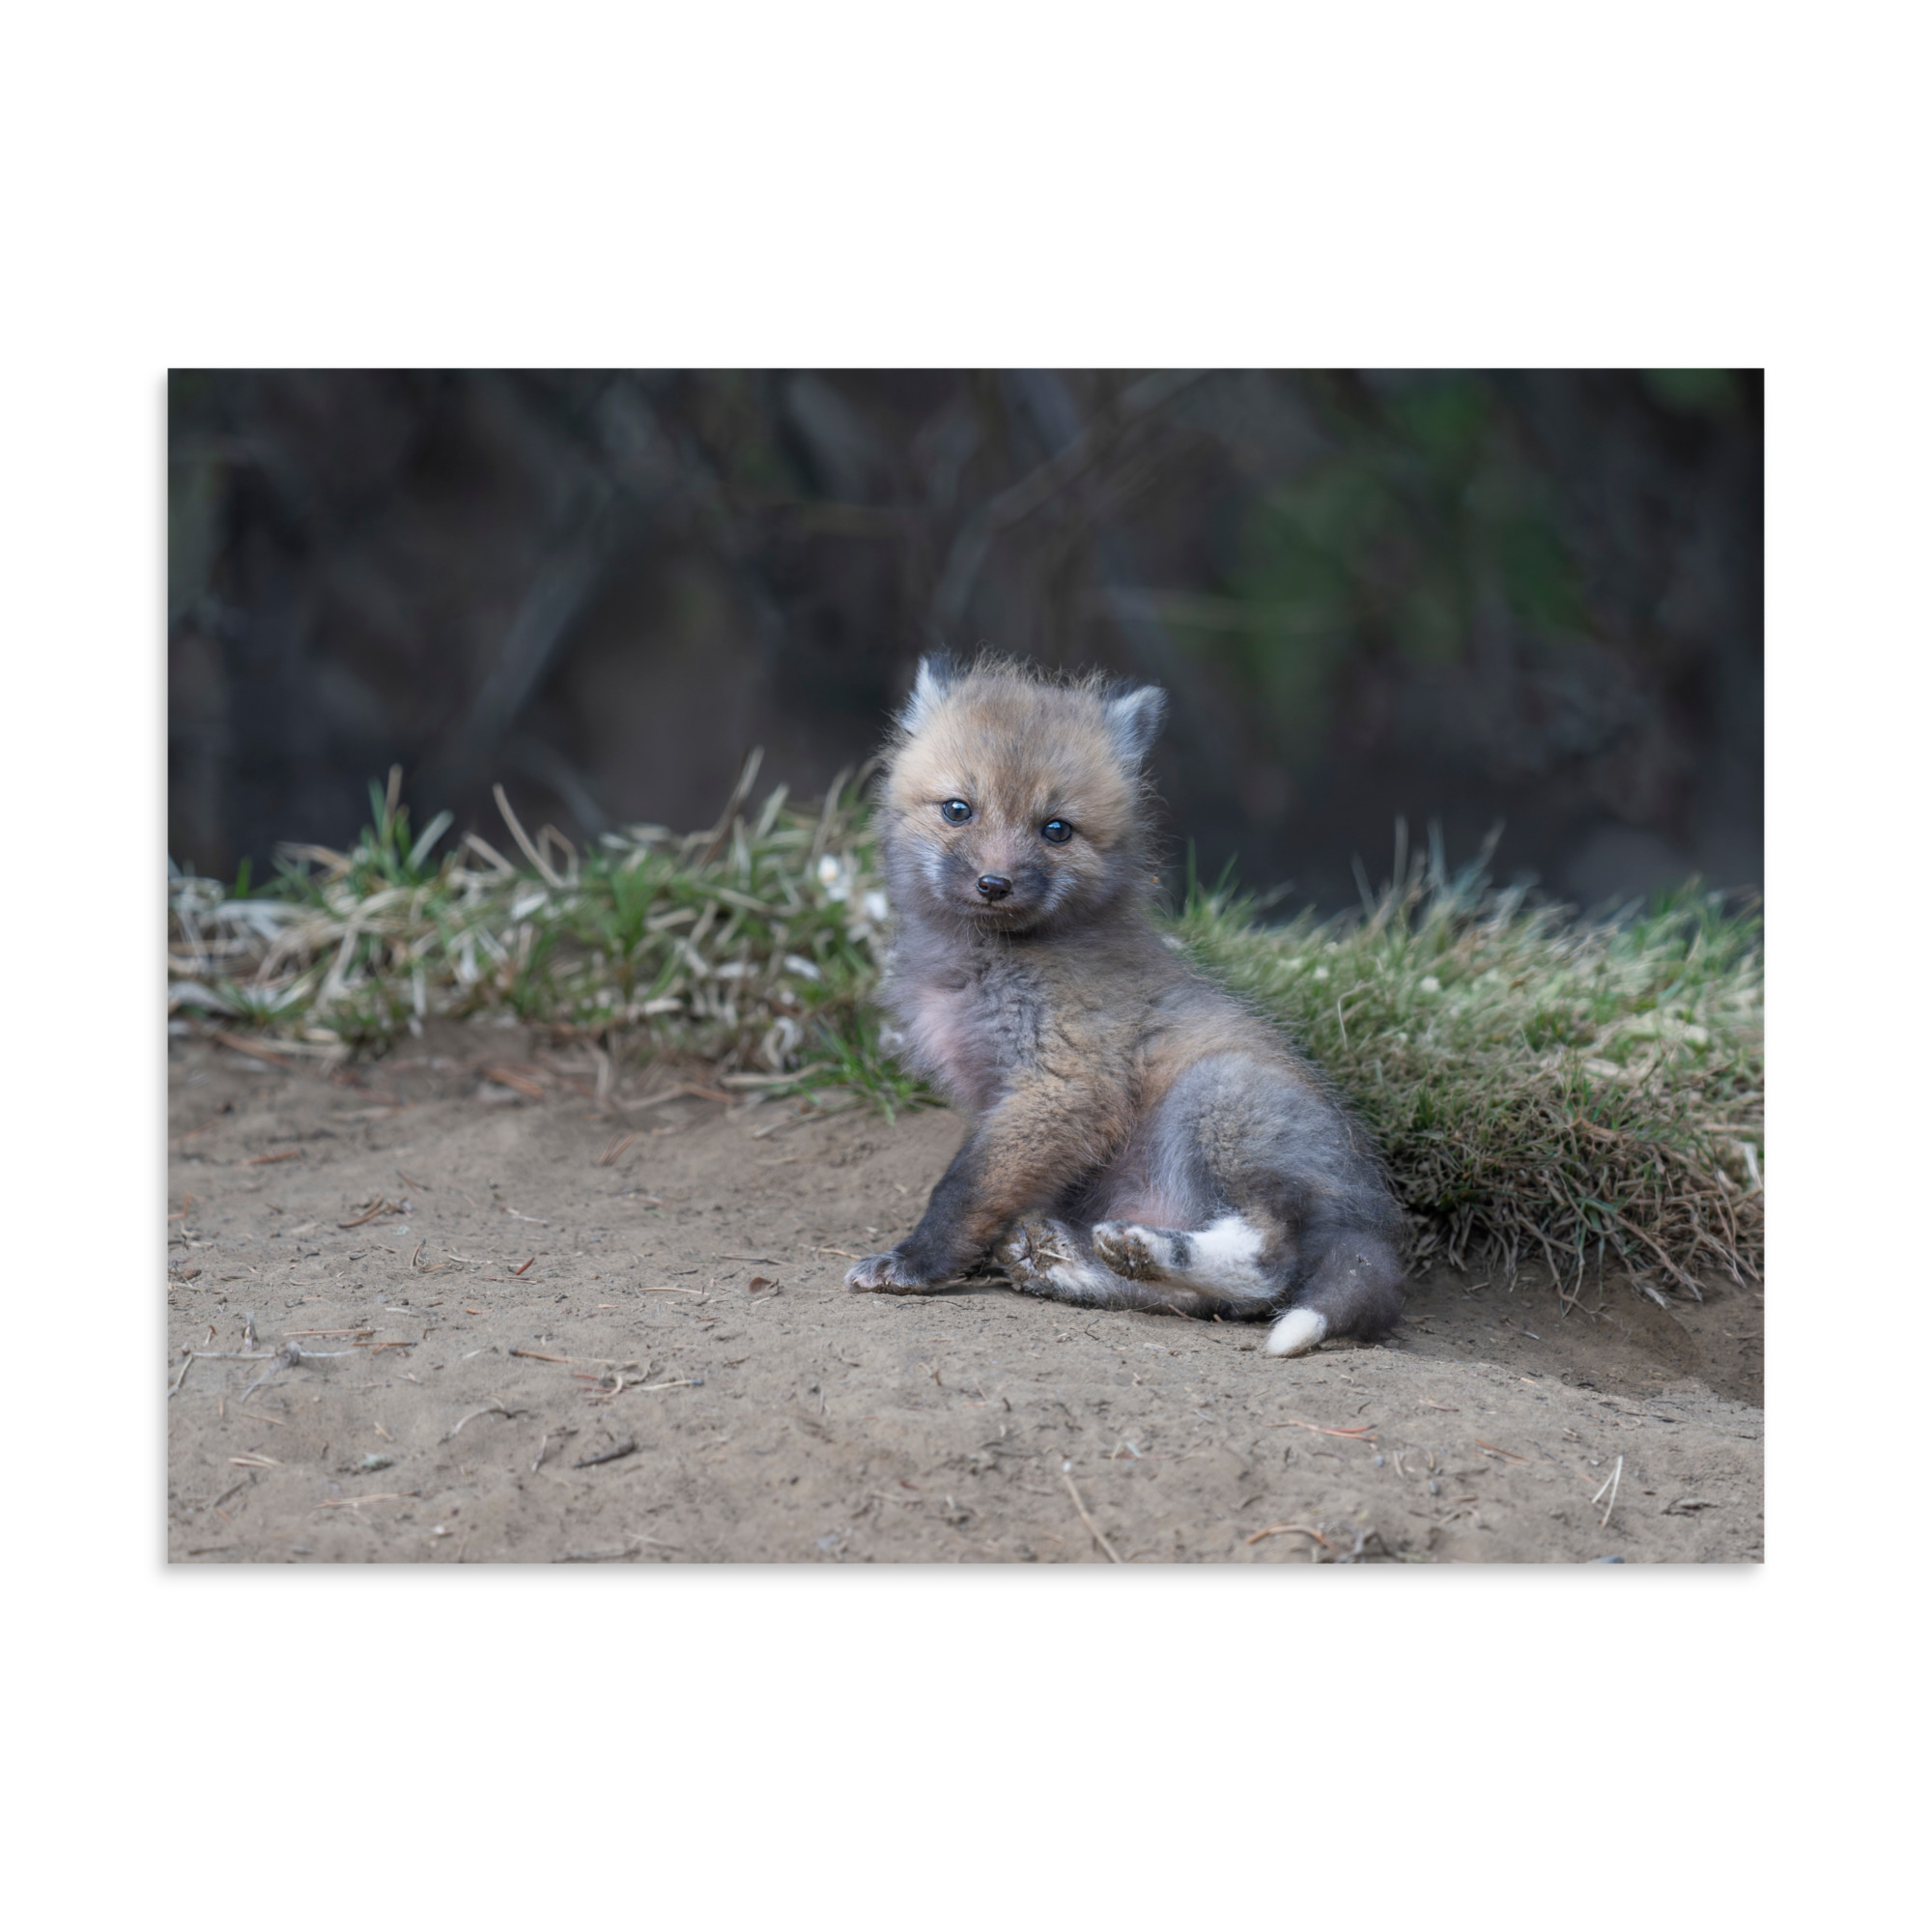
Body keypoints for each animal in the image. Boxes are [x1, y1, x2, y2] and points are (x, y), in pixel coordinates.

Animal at [844, 655, 1407, 1357]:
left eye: (1056, 829)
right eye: (958, 810)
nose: (994, 884)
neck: (987, 964)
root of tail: (1373, 1219)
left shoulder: (1064, 1084)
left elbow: (964, 1188)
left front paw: (916, 1262)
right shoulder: (1002, 1099)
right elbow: (989, 1188)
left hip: (1216, 1095)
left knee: (1269, 1266)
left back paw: (1142, 1249)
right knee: (1203, 1301)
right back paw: (1072, 1262)